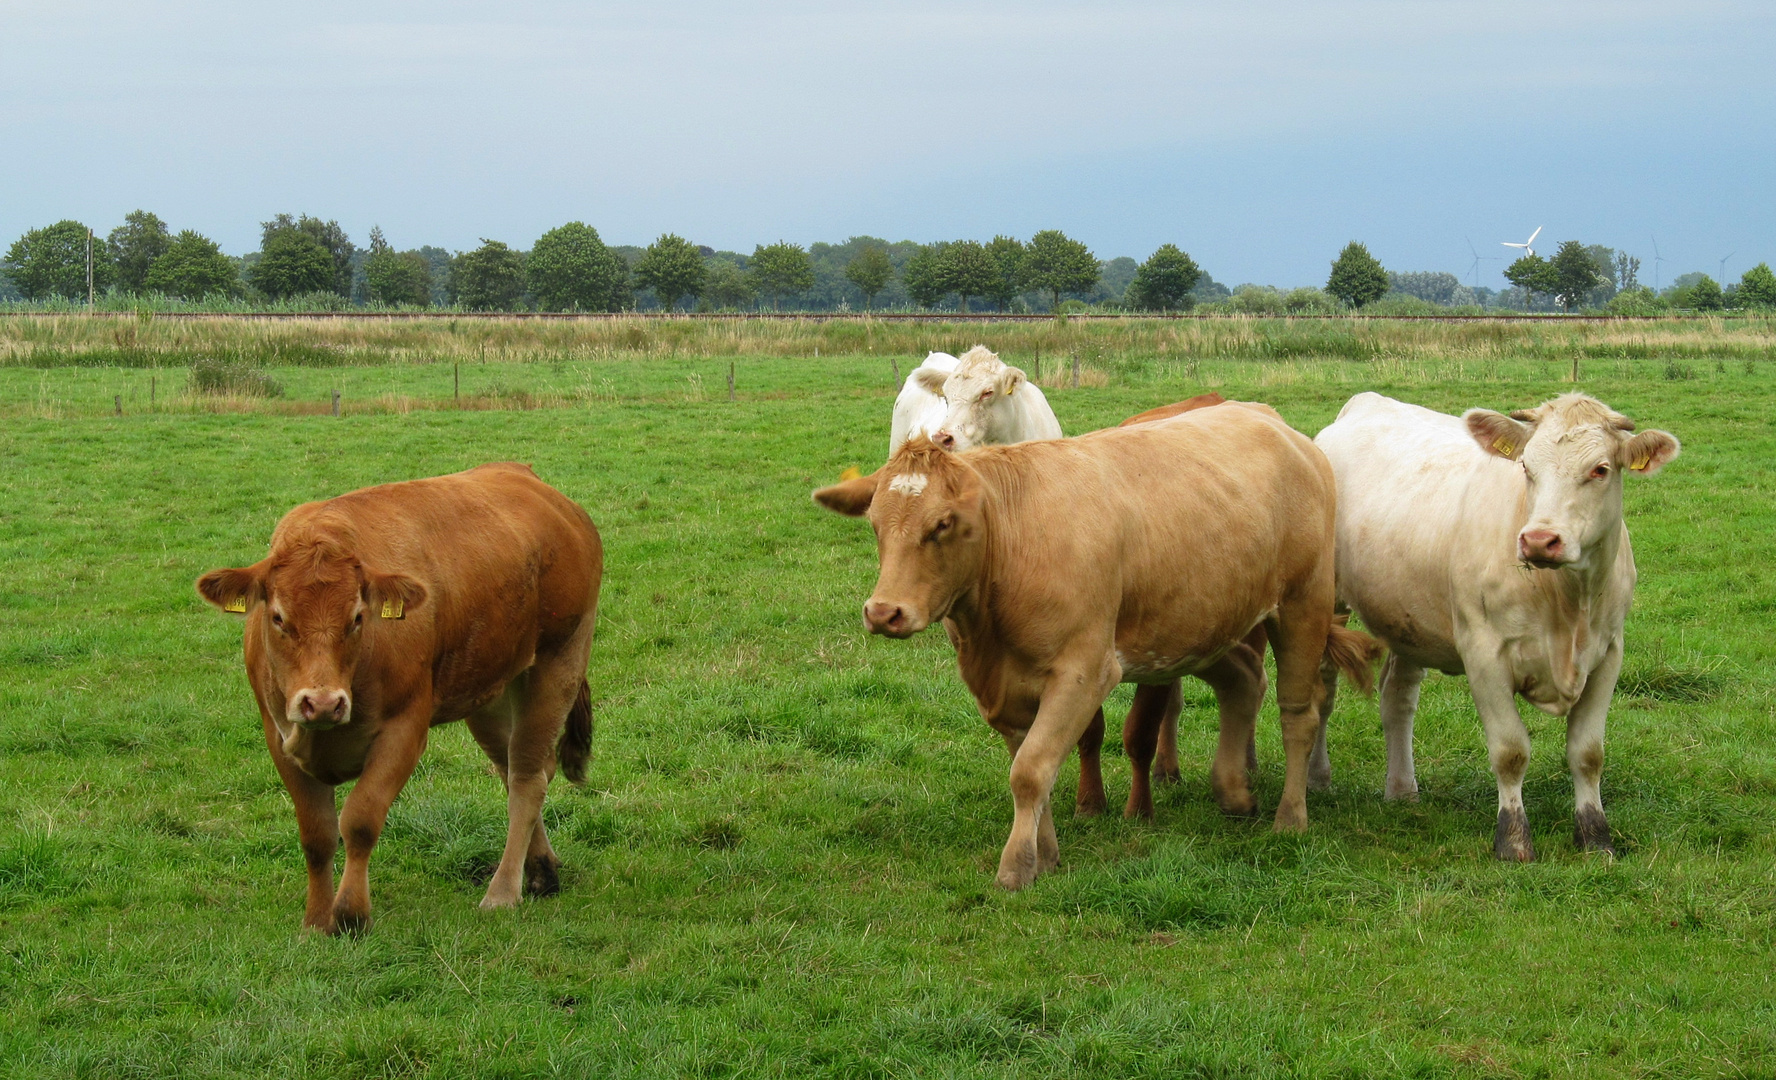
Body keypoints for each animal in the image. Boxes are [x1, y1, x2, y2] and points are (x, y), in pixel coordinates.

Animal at [198, 465, 603, 937]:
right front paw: (315, 922)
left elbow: (359, 820)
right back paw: (541, 869)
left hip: (560, 661)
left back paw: (503, 891)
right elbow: (317, 835)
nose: (322, 703)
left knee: (527, 779)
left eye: (358, 617)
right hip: (489, 689)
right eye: (278, 617)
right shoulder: (278, 737)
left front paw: (351, 913)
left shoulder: (404, 731)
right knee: (520, 767)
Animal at [813, 406, 1378, 895]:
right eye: (875, 524)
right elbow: (1031, 769)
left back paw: (1290, 817)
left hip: (1304, 603)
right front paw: (1045, 854)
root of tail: (1275, 424)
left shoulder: (1083, 670)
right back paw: (1233, 791)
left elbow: (1031, 769)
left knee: (1298, 714)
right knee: (1243, 679)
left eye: (943, 524)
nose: (884, 611)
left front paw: (1016, 865)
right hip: (1199, 624)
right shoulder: (1007, 688)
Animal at [1321, 390, 1676, 859]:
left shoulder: (1608, 654)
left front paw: (1595, 836)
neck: (1569, 606)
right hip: (1327, 601)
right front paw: (1513, 840)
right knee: (1320, 691)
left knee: (1397, 697)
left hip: (1407, 618)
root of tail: (1366, 401)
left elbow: (1588, 753)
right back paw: (1317, 779)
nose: (1540, 540)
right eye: (1526, 467)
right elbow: (1510, 751)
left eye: (1600, 469)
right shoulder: (1483, 654)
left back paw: (1402, 790)